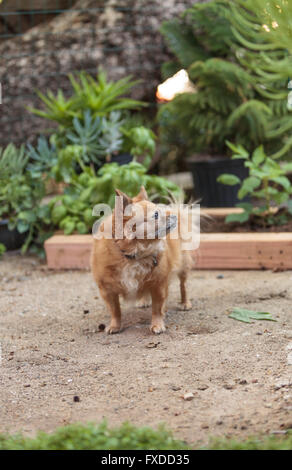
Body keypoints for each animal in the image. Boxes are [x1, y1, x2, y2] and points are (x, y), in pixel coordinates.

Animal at [90, 185, 194, 332]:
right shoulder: (107, 289)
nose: (173, 216)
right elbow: (115, 309)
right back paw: (144, 301)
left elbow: (157, 308)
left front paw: (157, 324)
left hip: (183, 265)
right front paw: (115, 326)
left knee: (183, 285)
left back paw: (185, 303)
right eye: (156, 215)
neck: (132, 256)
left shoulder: (158, 284)